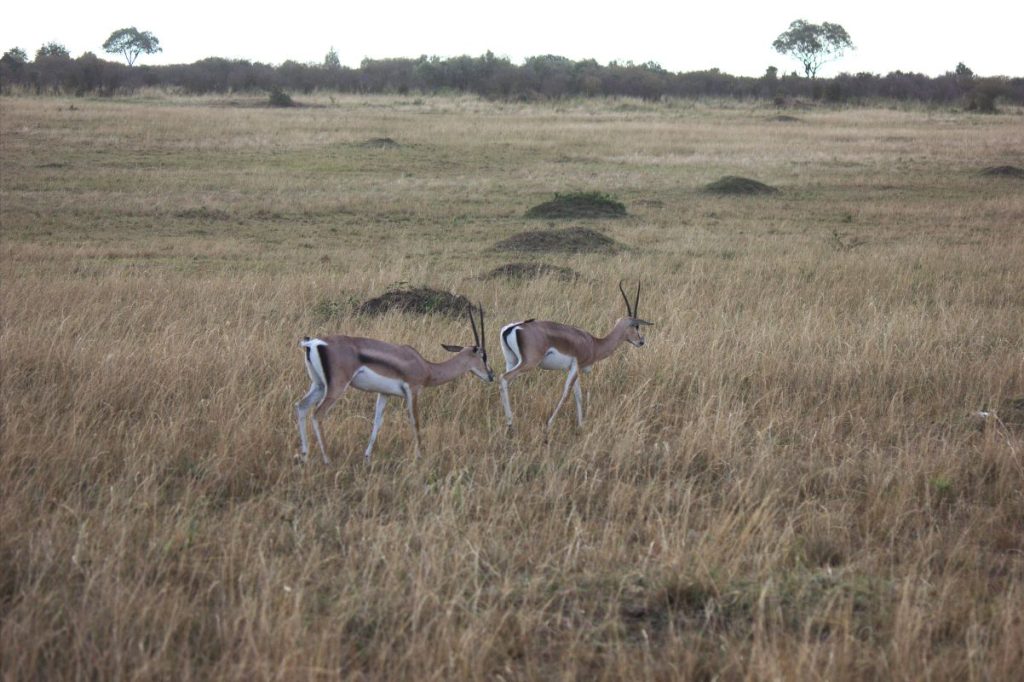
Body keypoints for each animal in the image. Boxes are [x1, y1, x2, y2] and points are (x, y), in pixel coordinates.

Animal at [296, 305, 494, 463]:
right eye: (483, 356)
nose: (491, 375)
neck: (427, 367)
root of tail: (313, 343)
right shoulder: (413, 391)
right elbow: (415, 421)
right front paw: (419, 456)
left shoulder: (384, 394)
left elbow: (377, 422)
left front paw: (367, 457)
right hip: (336, 387)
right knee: (318, 414)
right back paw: (327, 459)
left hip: (319, 385)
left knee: (301, 406)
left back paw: (305, 456)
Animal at [498, 281, 652, 432]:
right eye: (636, 326)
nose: (641, 341)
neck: (594, 343)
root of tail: (513, 327)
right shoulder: (576, 366)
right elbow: (566, 393)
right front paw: (550, 423)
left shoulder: (575, 369)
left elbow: (578, 395)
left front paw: (581, 425)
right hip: (528, 363)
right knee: (504, 378)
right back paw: (510, 424)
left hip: (511, 361)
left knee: (505, 383)